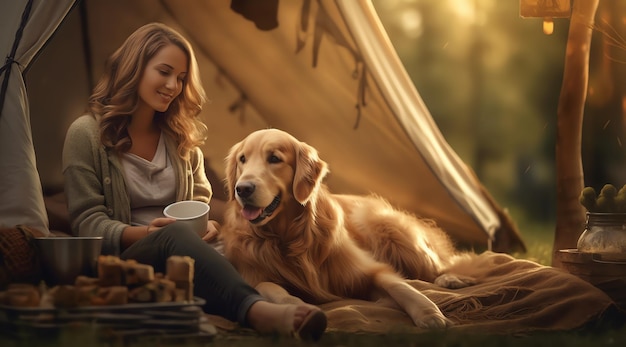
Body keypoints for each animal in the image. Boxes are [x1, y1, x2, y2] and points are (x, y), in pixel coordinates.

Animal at [219, 128, 472, 332]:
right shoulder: (254, 274)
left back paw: (451, 278)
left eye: (274, 158)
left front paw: (430, 314)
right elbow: (269, 287)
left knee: (440, 266)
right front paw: (298, 309)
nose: (242, 189)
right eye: (242, 159)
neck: (290, 237)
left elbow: (399, 285)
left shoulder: (367, 270)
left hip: (388, 229)